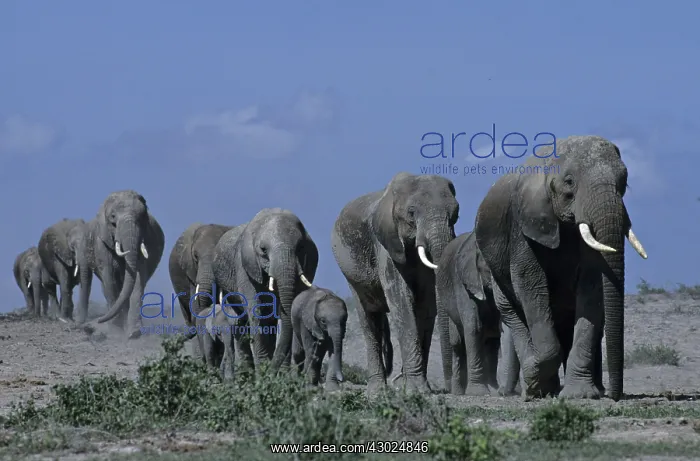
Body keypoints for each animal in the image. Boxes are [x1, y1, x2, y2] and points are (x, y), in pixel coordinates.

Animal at [75, 190, 165, 338]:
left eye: (142, 217)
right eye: (113, 217)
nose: (99, 320)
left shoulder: (145, 240)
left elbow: (138, 280)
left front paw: (134, 333)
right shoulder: (102, 244)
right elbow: (109, 279)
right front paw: (115, 331)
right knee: (90, 279)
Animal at [211, 208, 318, 372]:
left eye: (300, 248)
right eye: (263, 250)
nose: (270, 371)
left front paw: (279, 372)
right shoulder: (245, 268)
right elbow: (256, 311)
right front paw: (263, 370)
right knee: (240, 321)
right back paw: (248, 372)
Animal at [331, 172, 459, 395]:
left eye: (456, 214)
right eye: (411, 213)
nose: (449, 388)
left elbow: (426, 306)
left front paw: (414, 387)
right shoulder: (386, 244)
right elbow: (401, 301)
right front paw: (417, 389)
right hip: (350, 274)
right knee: (369, 318)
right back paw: (377, 390)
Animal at [435, 231, 520, 396]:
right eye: (492, 267)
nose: (504, 392)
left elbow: (504, 328)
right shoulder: (463, 282)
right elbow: (474, 328)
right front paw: (477, 392)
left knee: (492, 344)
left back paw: (493, 387)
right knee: (457, 343)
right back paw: (459, 392)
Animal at [474, 135, 648, 401]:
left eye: (624, 182)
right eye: (569, 182)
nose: (615, 396)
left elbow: (592, 287)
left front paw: (580, 395)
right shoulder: (523, 227)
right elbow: (530, 284)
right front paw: (535, 383)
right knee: (512, 312)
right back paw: (536, 386)